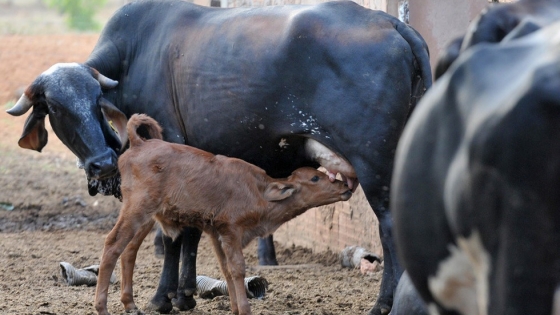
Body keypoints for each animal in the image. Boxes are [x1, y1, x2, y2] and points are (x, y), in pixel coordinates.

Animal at [93, 114, 352, 315]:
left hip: (146, 217)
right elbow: (237, 268)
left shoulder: (216, 234)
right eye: (315, 178)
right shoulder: (231, 231)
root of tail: (139, 144)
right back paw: (102, 307)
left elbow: (226, 269)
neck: (258, 191)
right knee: (112, 244)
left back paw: (130, 304)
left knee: (129, 250)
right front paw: (245, 310)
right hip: (136, 210)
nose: (345, 187)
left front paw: (236, 308)